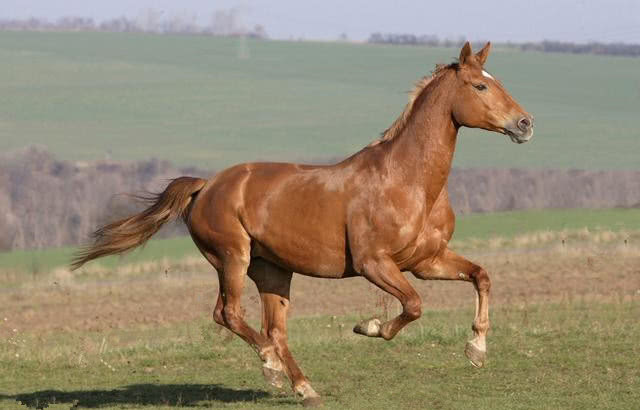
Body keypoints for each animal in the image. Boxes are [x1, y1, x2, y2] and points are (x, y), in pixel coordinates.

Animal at [71, 42, 536, 406]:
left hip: (273, 271)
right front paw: (368, 326)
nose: (525, 124)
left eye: (496, 80)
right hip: (233, 258)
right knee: (230, 314)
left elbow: (481, 277)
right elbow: (413, 305)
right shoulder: (374, 264)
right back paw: (273, 369)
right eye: (480, 86)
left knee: (273, 329)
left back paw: (302, 386)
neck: (409, 182)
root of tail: (206, 186)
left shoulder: (427, 260)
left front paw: (476, 350)